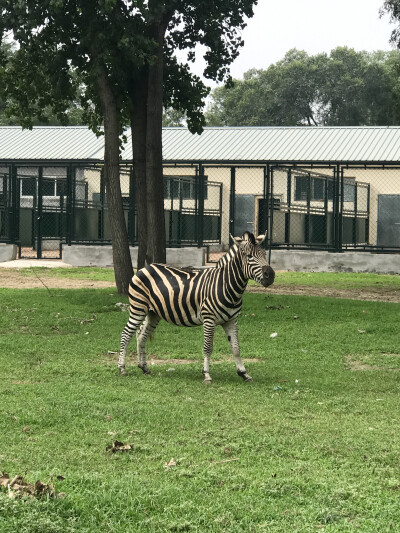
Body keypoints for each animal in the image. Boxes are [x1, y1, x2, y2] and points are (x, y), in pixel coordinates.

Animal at [119, 231, 276, 380]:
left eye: (264, 254)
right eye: (249, 256)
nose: (271, 275)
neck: (225, 285)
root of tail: (144, 268)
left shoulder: (231, 320)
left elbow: (236, 348)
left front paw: (243, 373)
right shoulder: (209, 319)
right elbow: (208, 348)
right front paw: (206, 374)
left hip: (153, 313)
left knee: (141, 335)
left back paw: (144, 367)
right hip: (138, 308)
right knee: (126, 333)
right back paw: (122, 368)